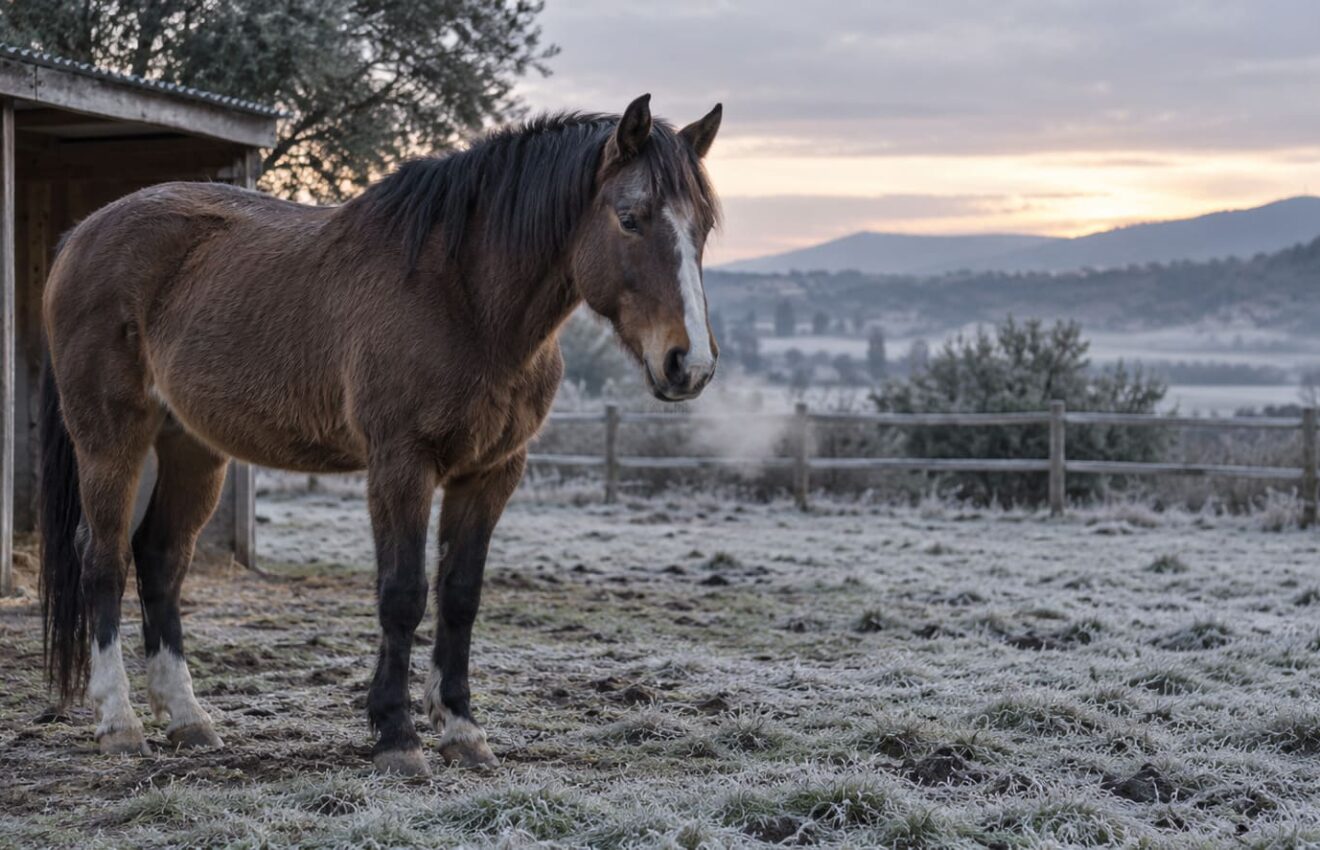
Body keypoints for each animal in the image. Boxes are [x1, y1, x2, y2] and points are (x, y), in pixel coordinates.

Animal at [38, 94, 722, 776]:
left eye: (705, 227)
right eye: (630, 218)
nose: (688, 364)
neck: (464, 299)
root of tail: (79, 235)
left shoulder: (491, 472)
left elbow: (460, 595)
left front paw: (462, 729)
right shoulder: (401, 464)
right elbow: (403, 594)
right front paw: (397, 735)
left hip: (192, 447)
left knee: (160, 559)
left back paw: (188, 719)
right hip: (110, 439)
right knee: (104, 560)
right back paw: (119, 722)